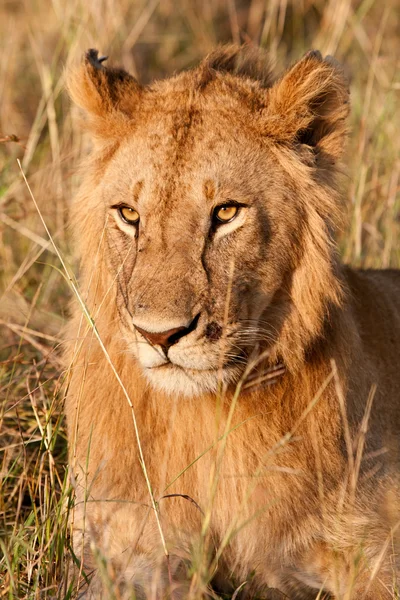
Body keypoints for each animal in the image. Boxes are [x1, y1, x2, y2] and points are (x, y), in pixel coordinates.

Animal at [64, 48, 400, 600]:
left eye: (226, 212)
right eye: (129, 215)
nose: (160, 335)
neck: (206, 418)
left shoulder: (374, 558)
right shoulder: (128, 551)